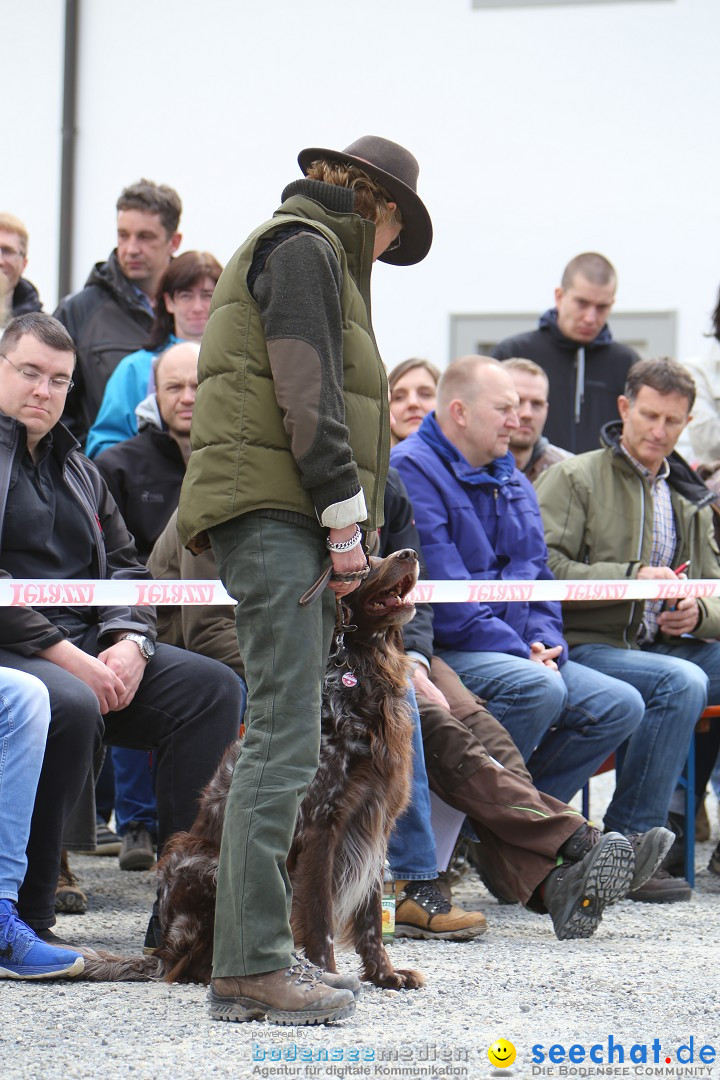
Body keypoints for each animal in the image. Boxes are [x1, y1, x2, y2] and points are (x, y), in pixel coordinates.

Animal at [81, 552, 425, 989]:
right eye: (367, 566)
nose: (410, 555)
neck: (363, 677)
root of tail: (161, 952)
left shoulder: (374, 819)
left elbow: (370, 919)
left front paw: (385, 974)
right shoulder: (322, 827)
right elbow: (321, 918)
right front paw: (329, 974)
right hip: (202, 861)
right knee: (194, 963)